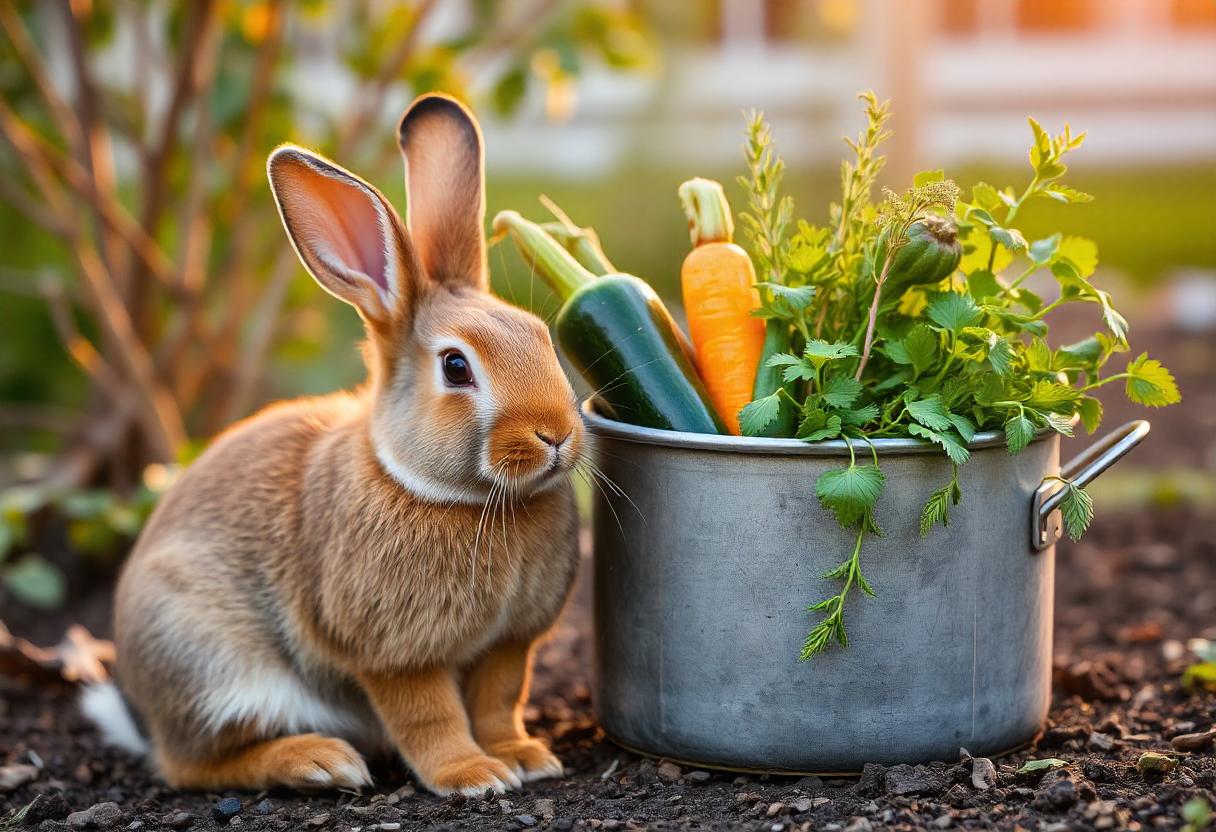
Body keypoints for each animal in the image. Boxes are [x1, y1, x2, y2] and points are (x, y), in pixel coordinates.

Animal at [83, 93, 584, 796]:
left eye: (541, 335)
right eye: (456, 367)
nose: (556, 434)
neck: (446, 492)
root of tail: (146, 714)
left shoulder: (510, 643)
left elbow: (498, 700)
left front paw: (526, 758)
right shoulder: (393, 652)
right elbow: (428, 716)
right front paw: (473, 776)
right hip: (212, 664)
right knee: (192, 766)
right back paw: (320, 762)